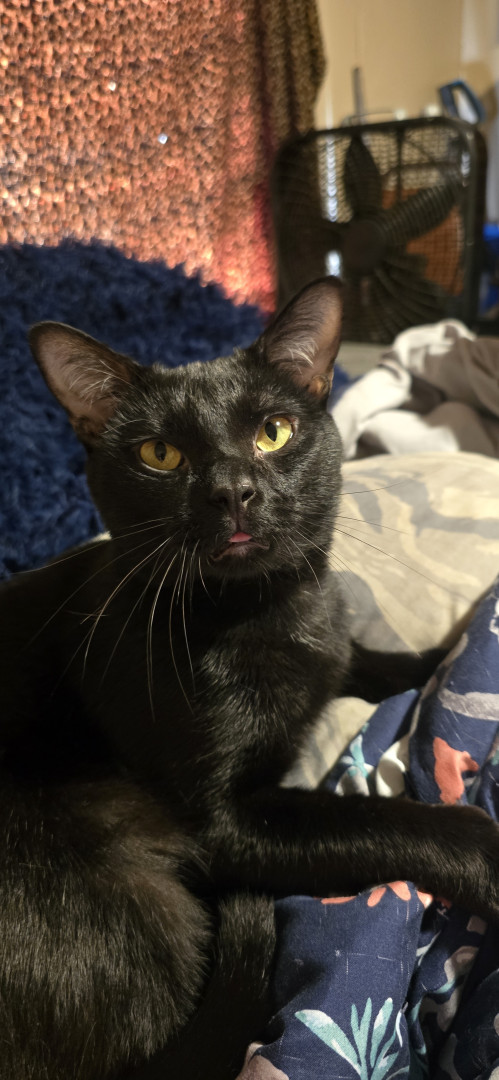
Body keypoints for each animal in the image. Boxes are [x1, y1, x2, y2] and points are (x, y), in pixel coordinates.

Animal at [1, 276, 499, 1080]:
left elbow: (373, 658)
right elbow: (373, 820)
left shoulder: (331, 644)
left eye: (273, 432)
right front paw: (485, 850)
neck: (263, 614)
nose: (232, 490)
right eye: (161, 453)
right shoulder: (227, 822)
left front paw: (451, 652)